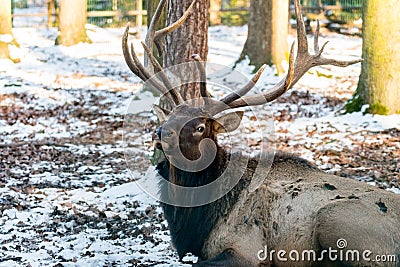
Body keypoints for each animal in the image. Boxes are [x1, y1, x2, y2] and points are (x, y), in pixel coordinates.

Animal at [122, 1, 400, 266]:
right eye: (170, 115)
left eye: (200, 127)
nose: (160, 133)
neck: (196, 222)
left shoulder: (248, 249)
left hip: (335, 219)